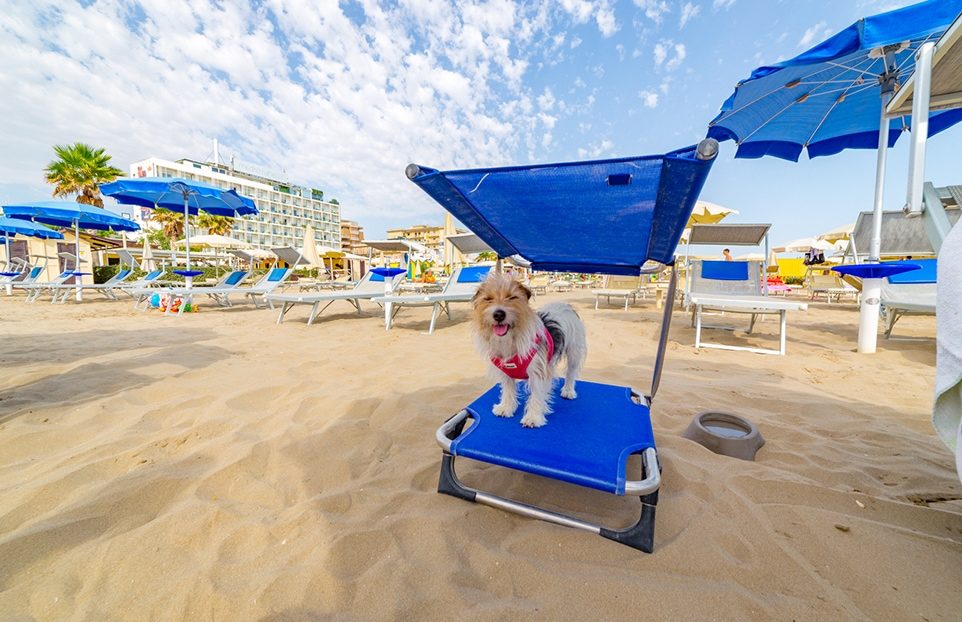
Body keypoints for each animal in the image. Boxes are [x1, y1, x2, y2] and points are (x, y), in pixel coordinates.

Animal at [470, 276, 584, 432]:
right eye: (488, 299)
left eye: (512, 297)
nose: (498, 314)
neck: (511, 340)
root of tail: (564, 305)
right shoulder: (506, 373)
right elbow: (508, 390)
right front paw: (506, 408)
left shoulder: (538, 372)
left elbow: (536, 395)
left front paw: (533, 418)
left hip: (574, 352)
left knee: (571, 373)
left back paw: (568, 391)